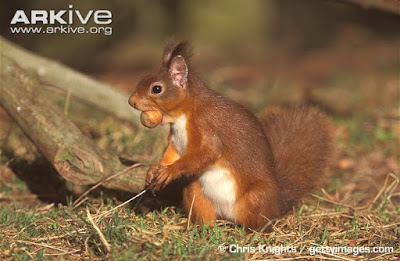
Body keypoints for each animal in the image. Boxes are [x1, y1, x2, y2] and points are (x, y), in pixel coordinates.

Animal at [129, 39, 334, 229]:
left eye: (156, 89)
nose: (131, 102)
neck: (183, 114)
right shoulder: (176, 141)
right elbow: (171, 154)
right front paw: (154, 169)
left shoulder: (206, 127)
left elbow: (207, 152)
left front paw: (170, 171)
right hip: (196, 190)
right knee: (206, 216)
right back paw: (197, 228)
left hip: (256, 197)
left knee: (261, 224)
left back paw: (250, 235)